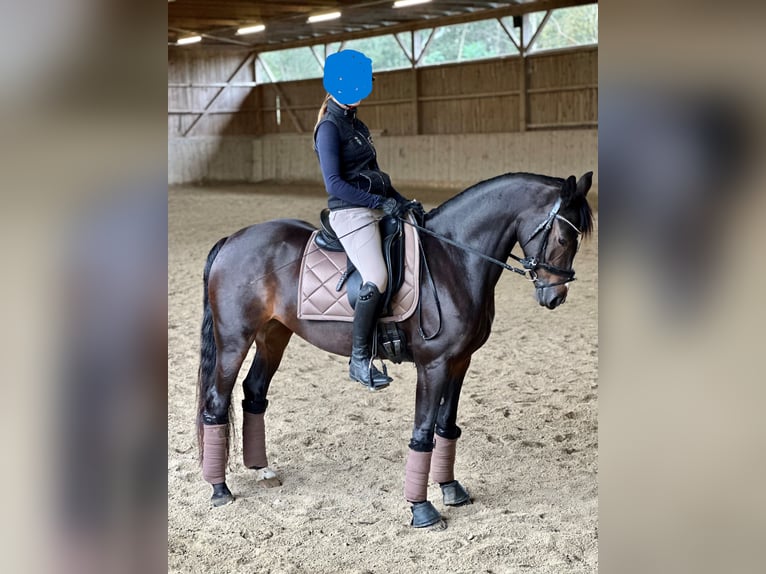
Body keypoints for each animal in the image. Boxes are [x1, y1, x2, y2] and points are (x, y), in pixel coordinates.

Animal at [195, 172, 596, 532]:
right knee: (216, 401)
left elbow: (446, 425)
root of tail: (233, 239)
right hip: (234, 339)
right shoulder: (433, 365)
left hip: (274, 335)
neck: (454, 258)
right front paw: (422, 510)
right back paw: (219, 489)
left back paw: (262, 470)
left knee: (254, 392)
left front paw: (451, 489)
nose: (555, 297)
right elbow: (423, 432)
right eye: (563, 236)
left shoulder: (460, 361)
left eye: (577, 241)